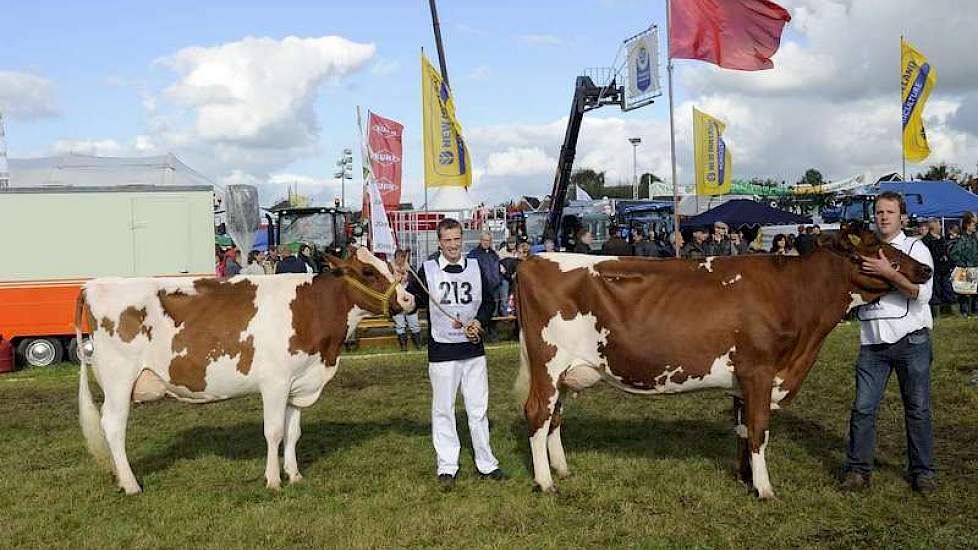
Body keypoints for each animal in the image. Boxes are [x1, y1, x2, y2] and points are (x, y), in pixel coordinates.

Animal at [77, 249, 412, 496]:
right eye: (368, 272)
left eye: (386, 265)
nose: (409, 299)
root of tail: (94, 285)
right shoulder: (275, 382)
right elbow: (274, 431)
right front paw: (273, 480)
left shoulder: (298, 382)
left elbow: (293, 433)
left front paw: (295, 475)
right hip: (119, 379)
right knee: (113, 426)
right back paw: (131, 484)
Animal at [510, 224, 932, 500]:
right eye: (876, 244)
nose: (926, 269)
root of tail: (533, 261)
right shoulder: (760, 371)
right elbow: (760, 430)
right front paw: (764, 489)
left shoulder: (744, 382)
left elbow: (743, 430)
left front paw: (745, 478)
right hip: (548, 364)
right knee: (537, 413)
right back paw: (545, 483)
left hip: (563, 374)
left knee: (555, 418)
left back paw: (562, 470)